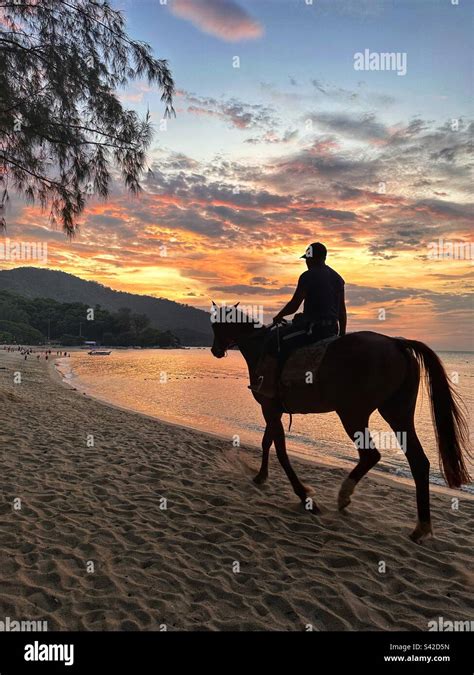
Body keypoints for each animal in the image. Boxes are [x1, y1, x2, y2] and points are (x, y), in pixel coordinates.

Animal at [211, 306, 470, 544]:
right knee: (418, 461)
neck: (260, 346)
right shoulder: (272, 410)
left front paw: (303, 495)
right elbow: (267, 442)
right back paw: (421, 527)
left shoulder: (269, 409)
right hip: (398, 413)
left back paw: (344, 496)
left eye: (215, 325)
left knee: (371, 455)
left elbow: (281, 452)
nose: (215, 350)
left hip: (352, 413)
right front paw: (261, 476)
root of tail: (396, 343)